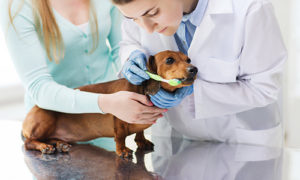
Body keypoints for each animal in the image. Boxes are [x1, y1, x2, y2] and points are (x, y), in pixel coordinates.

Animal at [22, 50, 198, 158]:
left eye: (188, 59)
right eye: (169, 60)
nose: (194, 69)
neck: (141, 89)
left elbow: (139, 132)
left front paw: (141, 141)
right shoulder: (120, 119)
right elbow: (120, 136)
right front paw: (123, 150)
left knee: (51, 139)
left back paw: (61, 144)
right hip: (45, 119)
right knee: (28, 142)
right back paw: (44, 147)